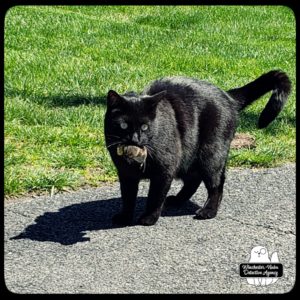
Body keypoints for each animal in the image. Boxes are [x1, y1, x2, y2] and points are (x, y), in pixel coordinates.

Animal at [105, 69, 290, 225]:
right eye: (123, 125)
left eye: (145, 127)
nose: (135, 139)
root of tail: (228, 96)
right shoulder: (125, 173)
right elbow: (128, 197)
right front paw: (125, 217)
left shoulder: (165, 169)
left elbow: (155, 196)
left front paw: (149, 218)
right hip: (189, 158)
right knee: (194, 180)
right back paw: (177, 200)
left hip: (211, 154)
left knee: (217, 184)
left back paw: (208, 211)